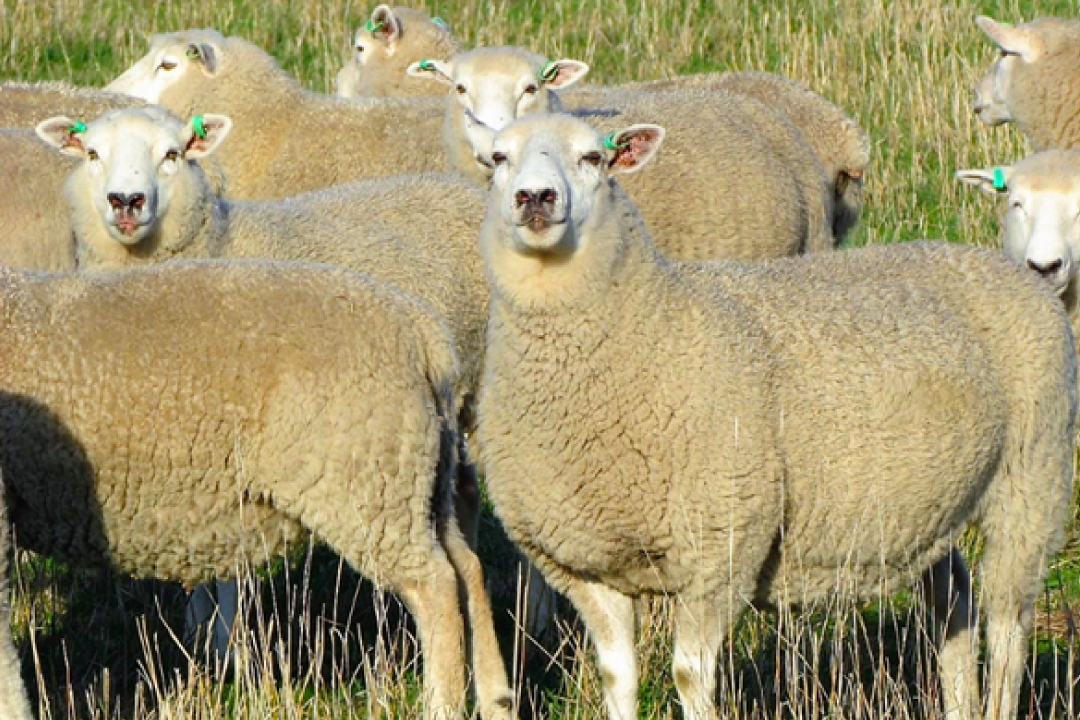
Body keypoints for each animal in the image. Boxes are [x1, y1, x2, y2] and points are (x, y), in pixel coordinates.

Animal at [0, 259, 515, 720]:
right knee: (467, 570)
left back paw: (442, 707)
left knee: (435, 586)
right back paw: (496, 701)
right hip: (417, 481)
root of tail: (426, 338)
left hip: (368, 480)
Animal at [477, 113, 1077, 720]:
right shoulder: (583, 566)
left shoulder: (722, 547)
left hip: (1031, 477)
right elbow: (616, 677)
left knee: (1007, 624)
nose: (535, 197)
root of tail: (997, 264)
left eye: (593, 158)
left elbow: (690, 675)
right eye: (499, 157)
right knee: (954, 602)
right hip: (924, 508)